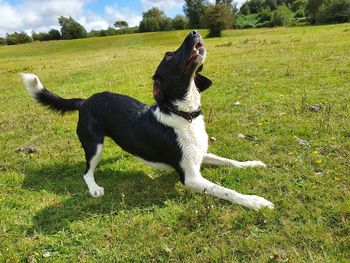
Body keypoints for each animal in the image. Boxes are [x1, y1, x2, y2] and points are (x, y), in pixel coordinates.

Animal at [20, 30, 274, 210]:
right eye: (169, 56)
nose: (194, 31)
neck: (184, 115)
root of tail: (85, 101)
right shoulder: (191, 178)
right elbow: (225, 191)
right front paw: (256, 201)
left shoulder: (200, 154)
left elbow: (231, 161)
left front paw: (252, 164)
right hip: (94, 145)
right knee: (87, 171)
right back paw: (94, 188)